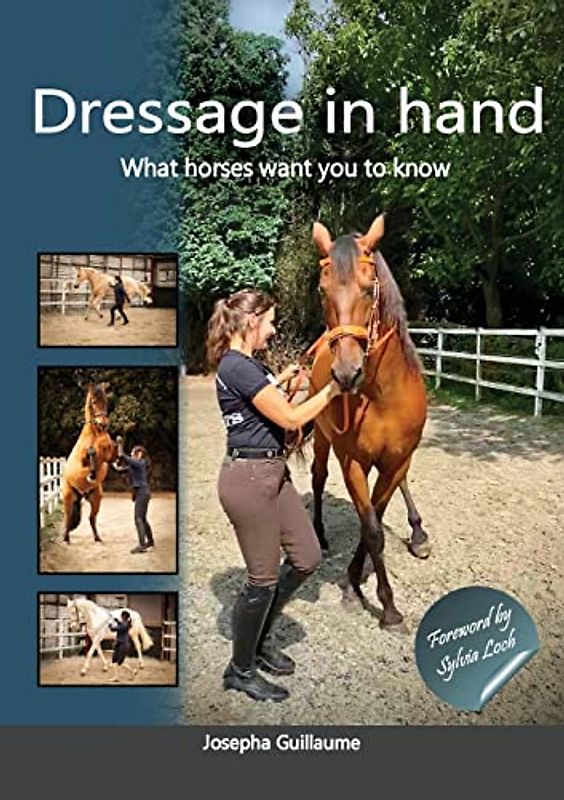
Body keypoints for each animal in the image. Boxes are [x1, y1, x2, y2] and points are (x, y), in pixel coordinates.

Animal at [61, 383, 118, 544]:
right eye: (93, 401)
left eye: (106, 401)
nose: (103, 424)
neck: (94, 434)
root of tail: (82, 494)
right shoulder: (81, 461)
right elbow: (91, 455)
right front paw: (91, 474)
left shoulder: (107, 456)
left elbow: (111, 451)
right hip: (68, 497)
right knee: (68, 517)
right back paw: (66, 538)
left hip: (96, 497)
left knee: (92, 518)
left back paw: (97, 538)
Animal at [309, 213, 429, 630]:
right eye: (322, 290)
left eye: (367, 289)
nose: (346, 373)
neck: (381, 395)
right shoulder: (353, 463)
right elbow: (371, 528)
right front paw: (383, 603)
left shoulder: (396, 462)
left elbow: (374, 517)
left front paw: (357, 578)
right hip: (322, 440)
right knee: (317, 478)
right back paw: (319, 534)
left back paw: (418, 532)